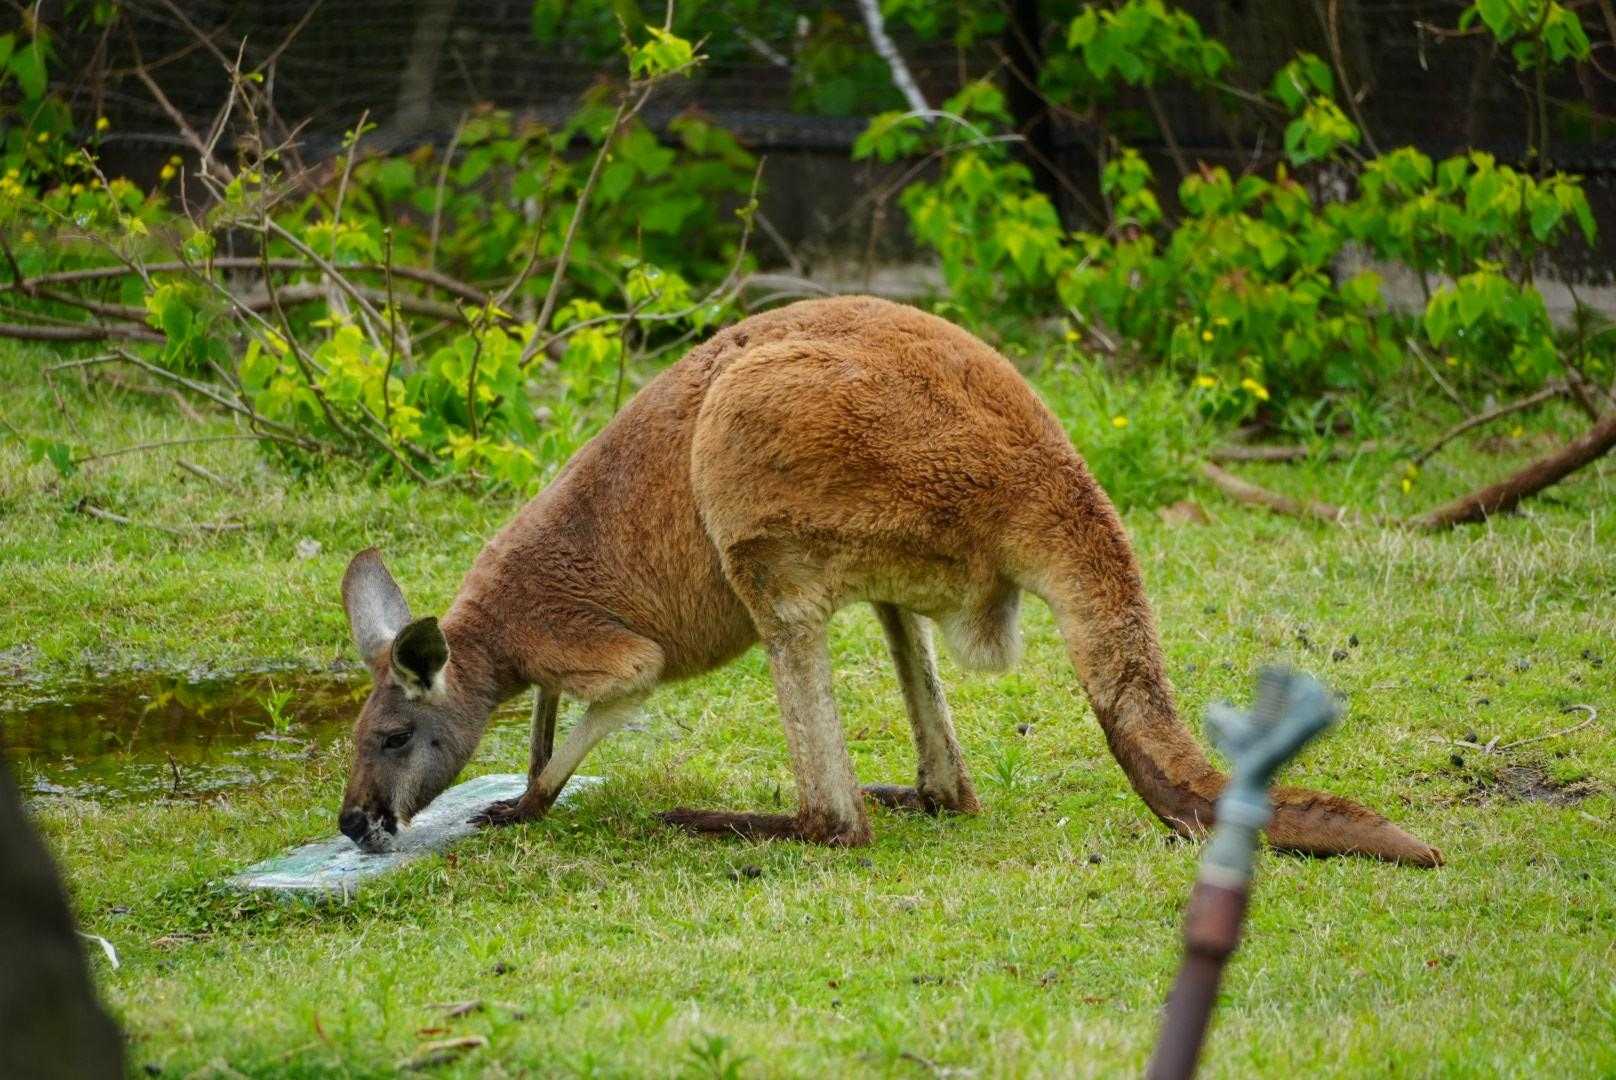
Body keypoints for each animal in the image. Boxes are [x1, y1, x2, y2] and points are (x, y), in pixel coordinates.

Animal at [336, 296, 1442, 867]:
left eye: (390, 739)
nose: (350, 822)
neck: (492, 638)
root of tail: (1052, 472)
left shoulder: (602, 650)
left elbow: (620, 692)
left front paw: (527, 803)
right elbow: (542, 723)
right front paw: (526, 781)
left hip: (764, 471)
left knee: (837, 824)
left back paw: (756, 821)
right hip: (884, 551)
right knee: (940, 763)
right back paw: (912, 793)